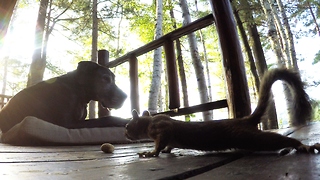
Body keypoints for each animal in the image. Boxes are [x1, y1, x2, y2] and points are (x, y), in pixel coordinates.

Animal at [124, 69, 320, 158]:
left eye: (126, 125)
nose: (125, 135)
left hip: (248, 137)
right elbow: (168, 145)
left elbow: (160, 142)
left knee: (277, 140)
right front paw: (165, 150)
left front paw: (151, 152)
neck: (148, 122)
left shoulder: (161, 128)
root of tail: (245, 120)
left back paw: (302, 145)